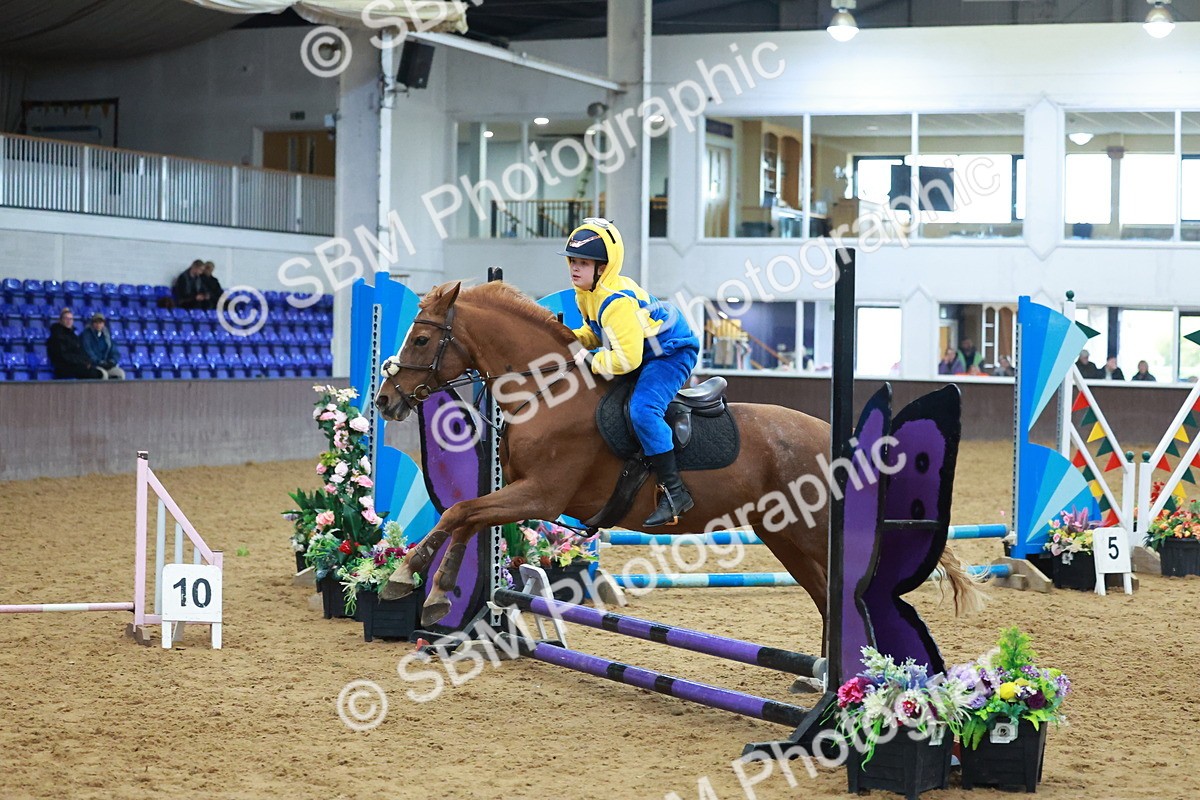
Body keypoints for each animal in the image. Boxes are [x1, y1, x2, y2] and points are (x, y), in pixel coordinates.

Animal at [373, 280, 982, 626]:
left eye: (422, 339)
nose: (385, 399)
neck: (547, 392)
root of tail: (838, 441)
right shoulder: (518, 492)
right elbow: (466, 518)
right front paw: (436, 592)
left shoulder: (541, 496)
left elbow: (459, 512)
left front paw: (406, 576)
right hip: (784, 536)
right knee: (827, 597)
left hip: (813, 533)